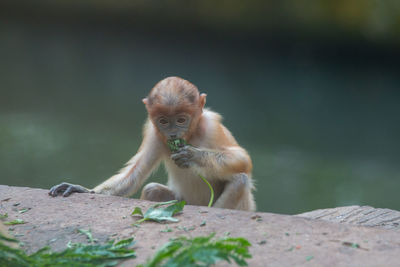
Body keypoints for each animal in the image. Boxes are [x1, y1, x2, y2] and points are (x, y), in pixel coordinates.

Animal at [49, 77, 256, 211]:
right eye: (163, 121)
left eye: (181, 120)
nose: (173, 134)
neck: (191, 136)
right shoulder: (154, 134)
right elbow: (135, 175)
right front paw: (81, 189)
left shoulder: (211, 125)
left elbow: (243, 159)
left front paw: (192, 155)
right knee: (152, 190)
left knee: (240, 179)